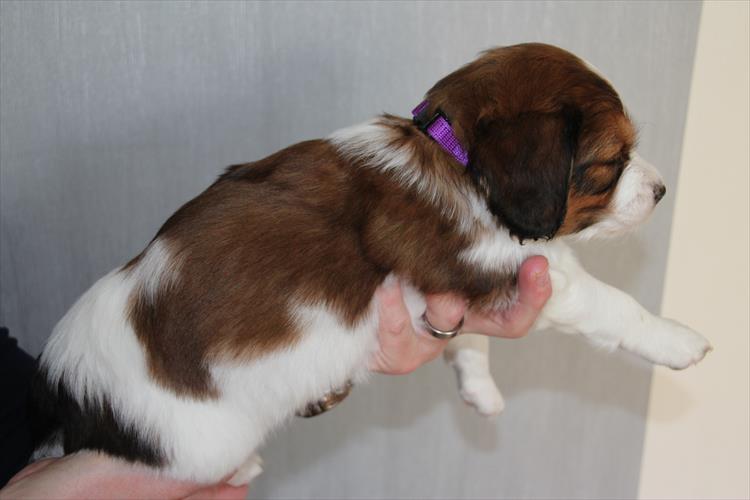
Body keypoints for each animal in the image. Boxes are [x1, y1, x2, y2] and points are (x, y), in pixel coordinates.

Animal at [32, 43, 711, 485]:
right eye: (611, 163)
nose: (662, 191)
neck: (456, 157)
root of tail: (75, 401)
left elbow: (470, 340)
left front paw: (481, 389)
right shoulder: (502, 264)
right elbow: (613, 304)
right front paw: (679, 341)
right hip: (201, 442)